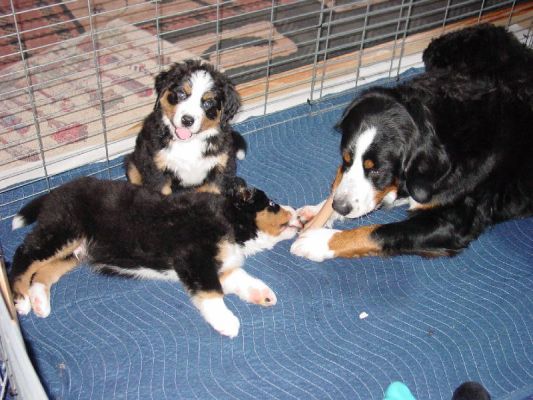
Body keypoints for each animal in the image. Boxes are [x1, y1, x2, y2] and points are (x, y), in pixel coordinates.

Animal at [9, 177, 300, 336]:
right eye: (272, 205)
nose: (296, 212)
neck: (229, 220)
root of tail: (56, 191)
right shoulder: (193, 258)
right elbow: (212, 293)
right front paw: (226, 322)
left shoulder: (220, 266)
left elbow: (240, 276)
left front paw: (262, 294)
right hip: (62, 230)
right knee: (24, 256)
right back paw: (20, 299)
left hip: (73, 251)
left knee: (43, 271)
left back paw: (39, 301)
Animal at [125, 59, 247, 195]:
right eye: (181, 94)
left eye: (208, 103)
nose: (187, 120)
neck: (189, 143)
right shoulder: (156, 168)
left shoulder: (221, 167)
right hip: (133, 163)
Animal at [290, 25, 532, 262]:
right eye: (345, 159)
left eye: (377, 170)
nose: (340, 206)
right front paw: (318, 210)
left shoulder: (453, 220)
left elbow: (379, 231)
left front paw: (319, 241)